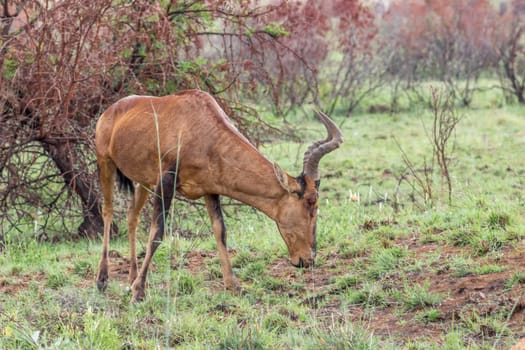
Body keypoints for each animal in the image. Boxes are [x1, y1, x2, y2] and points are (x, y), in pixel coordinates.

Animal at [94, 89, 342, 300]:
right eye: (311, 201)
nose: (307, 260)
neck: (200, 124)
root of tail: (112, 109)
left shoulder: (210, 190)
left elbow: (220, 231)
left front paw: (235, 285)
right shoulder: (165, 182)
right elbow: (157, 232)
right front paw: (139, 292)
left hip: (144, 181)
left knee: (131, 215)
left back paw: (131, 277)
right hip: (105, 162)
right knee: (107, 211)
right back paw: (102, 279)